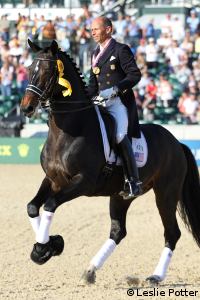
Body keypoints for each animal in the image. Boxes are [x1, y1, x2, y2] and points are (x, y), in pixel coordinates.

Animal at [20, 39, 200, 284]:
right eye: (30, 69)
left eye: (48, 71)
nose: (26, 107)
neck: (69, 129)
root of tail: (177, 143)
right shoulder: (53, 179)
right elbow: (32, 207)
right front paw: (48, 246)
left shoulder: (83, 181)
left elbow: (49, 205)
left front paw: (44, 249)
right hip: (120, 196)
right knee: (118, 231)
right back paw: (90, 270)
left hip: (166, 193)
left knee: (172, 232)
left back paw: (155, 276)